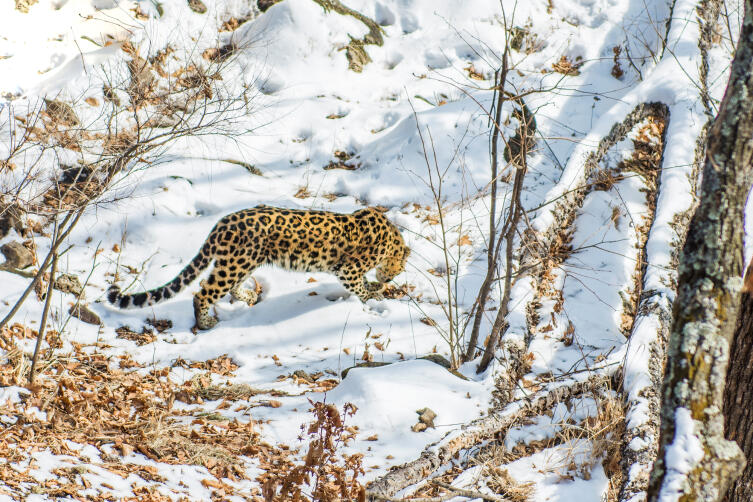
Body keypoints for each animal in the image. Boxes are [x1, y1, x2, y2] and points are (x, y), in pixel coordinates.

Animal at [106, 204, 408, 330]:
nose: (389, 280)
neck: (392, 240)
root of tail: (222, 223)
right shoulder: (348, 269)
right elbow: (360, 286)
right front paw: (373, 295)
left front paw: (375, 289)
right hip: (236, 263)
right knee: (203, 293)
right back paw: (205, 322)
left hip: (243, 261)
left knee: (231, 286)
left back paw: (249, 296)